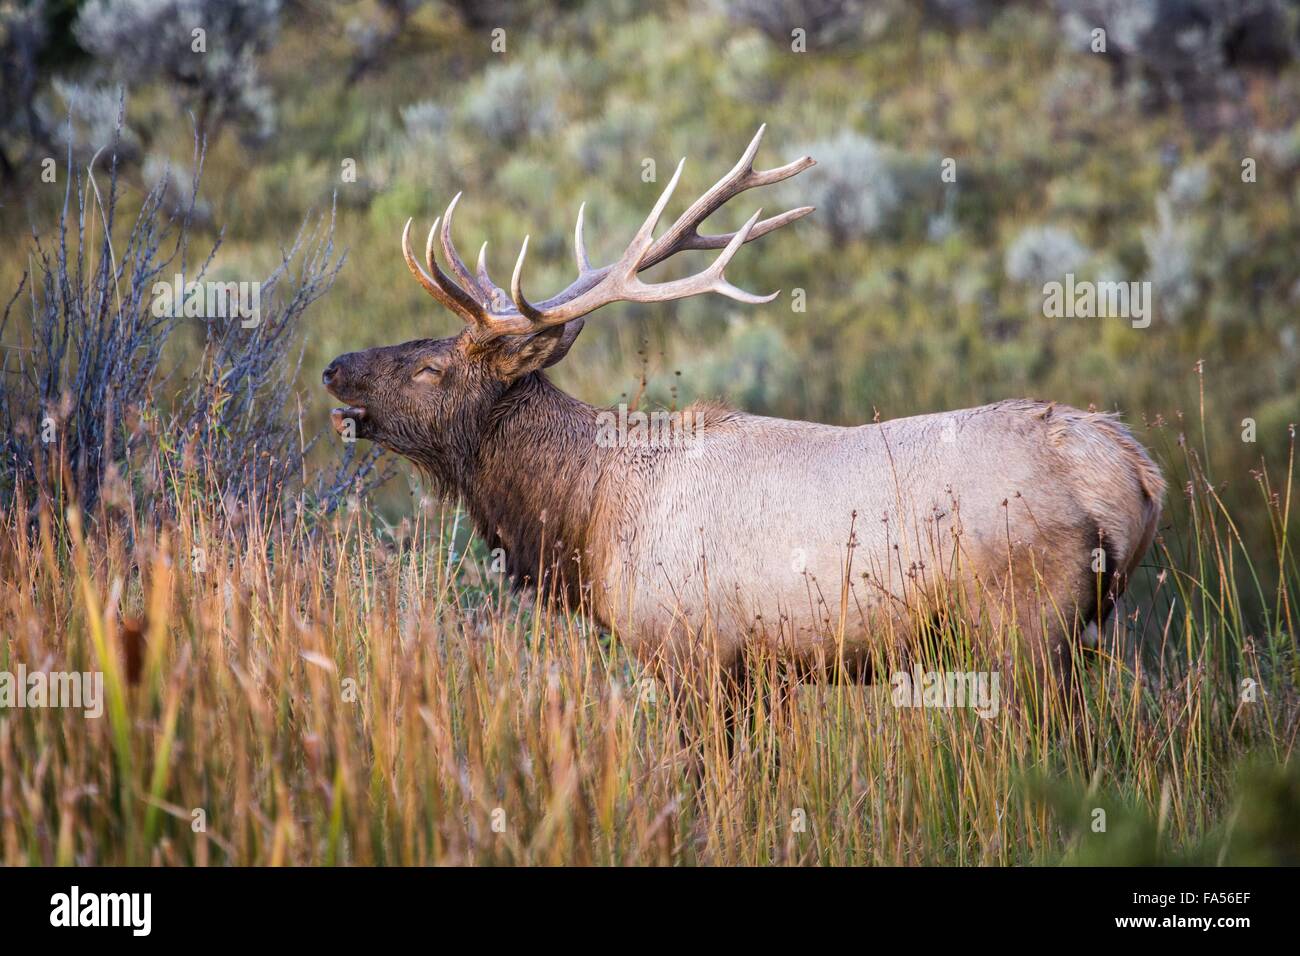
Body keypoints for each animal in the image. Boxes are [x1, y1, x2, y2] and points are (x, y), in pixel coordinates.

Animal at [327, 127, 1170, 723]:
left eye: (432, 368)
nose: (336, 367)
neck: (587, 515)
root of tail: (1132, 470)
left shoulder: (689, 651)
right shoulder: (755, 670)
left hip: (1026, 627)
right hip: (1087, 631)